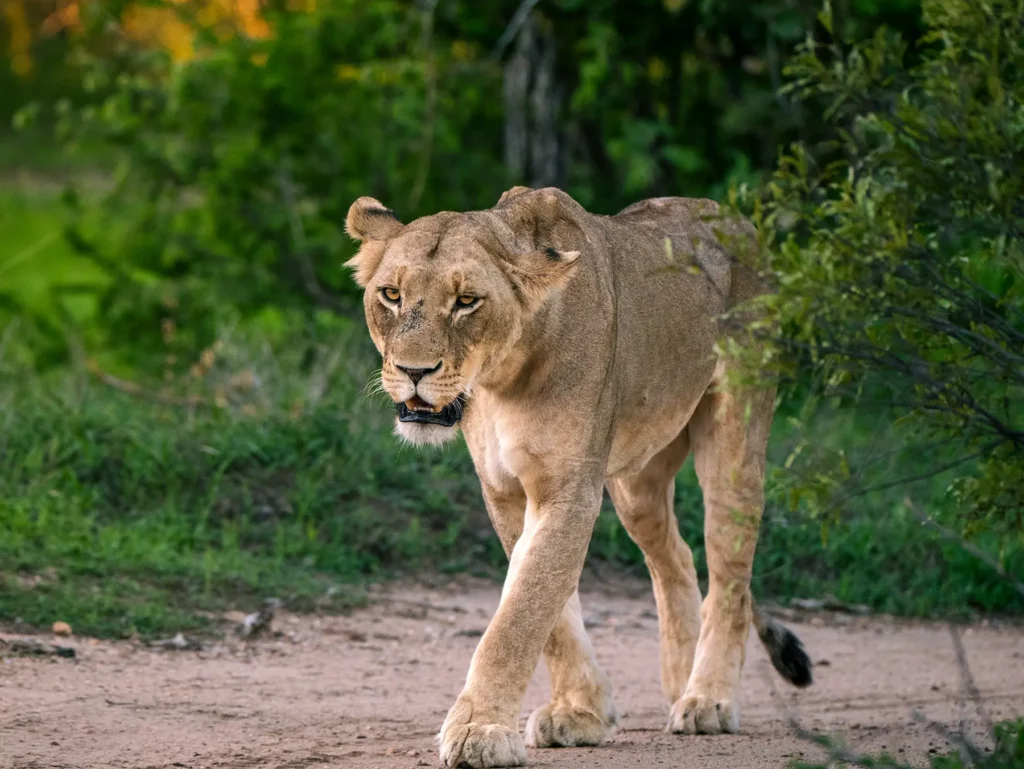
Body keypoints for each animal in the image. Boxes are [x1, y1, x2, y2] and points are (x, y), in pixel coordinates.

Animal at [344, 186, 812, 768]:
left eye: (467, 301)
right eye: (390, 294)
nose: (413, 371)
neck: (502, 379)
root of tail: (740, 222)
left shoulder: (569, 491)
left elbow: (522, 612)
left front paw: (479, 730)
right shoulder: (505, 490)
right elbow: (550, 611)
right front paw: (582, 711)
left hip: (735, 438)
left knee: (730, 576)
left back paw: (708, 699)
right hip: (637, 479)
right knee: (675, 558)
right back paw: (679, 681)